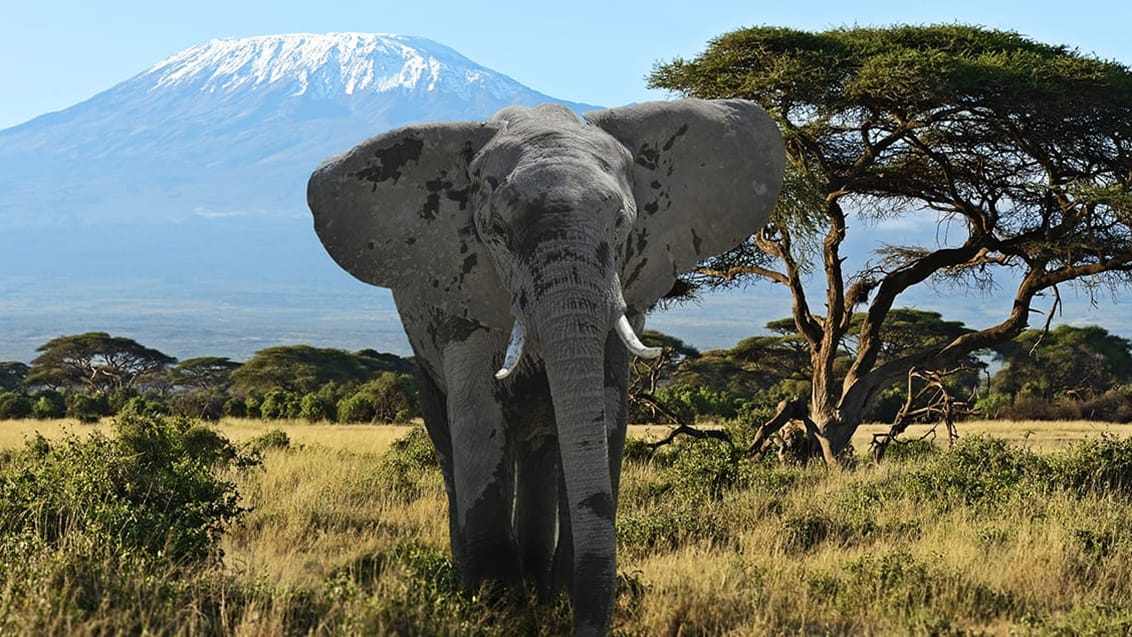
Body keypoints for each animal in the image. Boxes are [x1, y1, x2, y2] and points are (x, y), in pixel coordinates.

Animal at [310, 97, 787, 633]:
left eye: (621, 225)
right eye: (497, 233)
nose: (584, 626)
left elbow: (606, 412)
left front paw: (552, 596)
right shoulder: (462, 288)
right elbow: (478, 410)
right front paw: (494, 606)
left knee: (540, 447)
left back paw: (538, 582)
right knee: (449, 438)